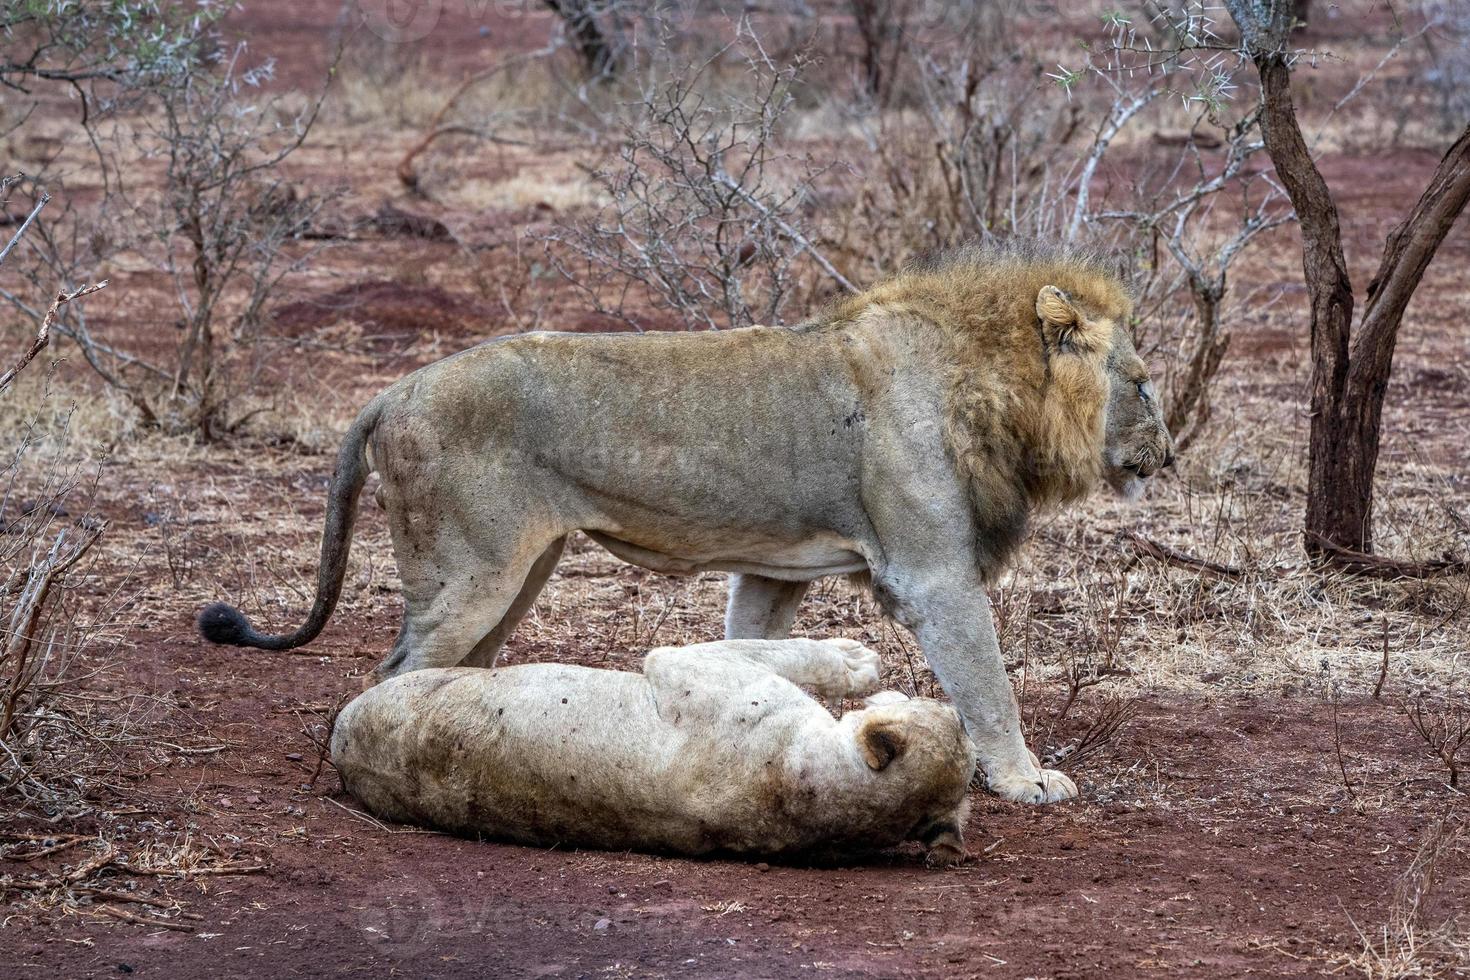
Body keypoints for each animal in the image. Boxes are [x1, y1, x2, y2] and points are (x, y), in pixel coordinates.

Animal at [201, 239, 1176, 805]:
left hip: (522, 570)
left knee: (447, 675)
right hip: (471, 572)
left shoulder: (774, 572)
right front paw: (1026, 779)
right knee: (390, 674)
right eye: (1142, 384)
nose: (1167, 453)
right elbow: (989, 683)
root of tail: (390, 392)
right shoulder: (931, 574)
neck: (997, 389)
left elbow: (748, 641)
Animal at [333, 637, 976, 858]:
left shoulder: (685, 665)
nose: (962, 710)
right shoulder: (693, 665)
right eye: (956, 722)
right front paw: (861, 659)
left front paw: (856, 660)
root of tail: (339, 744)